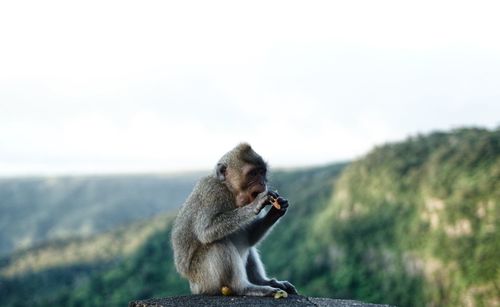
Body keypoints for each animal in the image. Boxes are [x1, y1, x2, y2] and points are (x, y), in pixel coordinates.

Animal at [172, 143, 296, 298]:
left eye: (262, 172)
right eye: (253, 173)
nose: (263, 182)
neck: (231, 191)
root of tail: (194, 287)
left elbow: (250, 237)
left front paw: (276, 210)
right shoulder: (212, 193)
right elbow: (206, 232)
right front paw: (256, 204)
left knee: (248, 247)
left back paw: (263, 282)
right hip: (205, 280)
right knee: (217, 244)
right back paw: (245, 288)